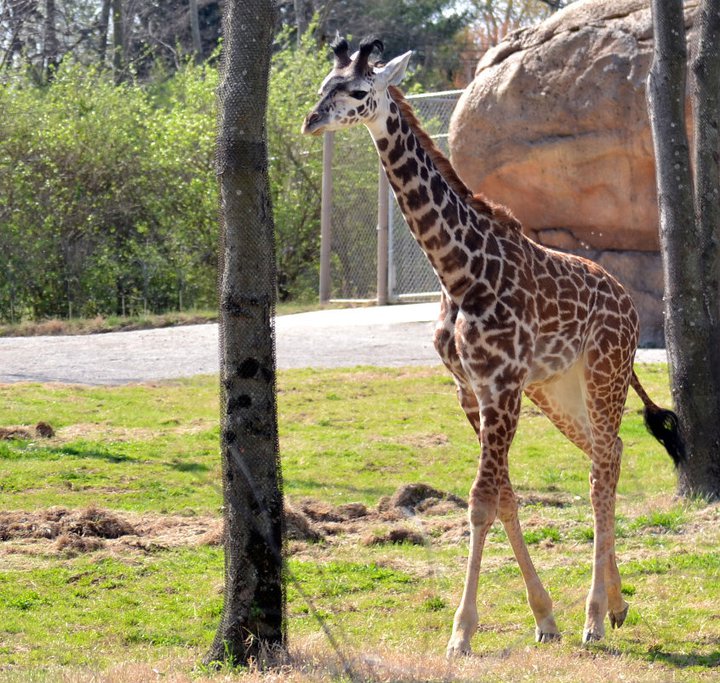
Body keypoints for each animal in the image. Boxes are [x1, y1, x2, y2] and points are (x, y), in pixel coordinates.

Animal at [300, 36, 684, 656]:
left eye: (358, 92)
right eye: (322, 88)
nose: (311, 122)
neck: (458, 273)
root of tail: (627, 303)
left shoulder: (500, 385)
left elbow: (481, 500)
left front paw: (462, 632)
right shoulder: (471, 389)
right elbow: (502, 496)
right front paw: (544, 618)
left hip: (604, 372)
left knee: (602, 465)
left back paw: (594, 619)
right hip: (556, 389)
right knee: (611, 453)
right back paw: (616, 604)